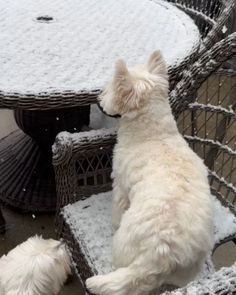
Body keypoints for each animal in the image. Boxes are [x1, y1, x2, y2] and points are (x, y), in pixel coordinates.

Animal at [86, 51, 214, 295]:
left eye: (110, 88)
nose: (98, 98)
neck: (153, 134)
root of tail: (160, 255)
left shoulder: (120, 185)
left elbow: (117, 206)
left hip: (124, 243)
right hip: (188, 268)